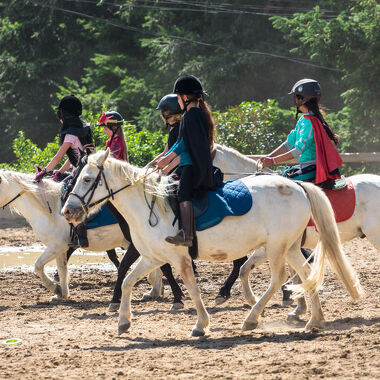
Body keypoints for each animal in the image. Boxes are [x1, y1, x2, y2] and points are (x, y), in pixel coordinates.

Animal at [61, 150, 362, 336]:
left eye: (87, 179)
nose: (67, 211)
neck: (150, 207)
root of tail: (297, 186)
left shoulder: (179, 258)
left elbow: (192, 288)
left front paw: (200, 324)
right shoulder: (153, 257)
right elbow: (126, 281)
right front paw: (123, 322)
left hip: (276, 247)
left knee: (279, 278)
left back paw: (252, 318)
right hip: (288, 247)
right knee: (307, 274)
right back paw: (314, 320)